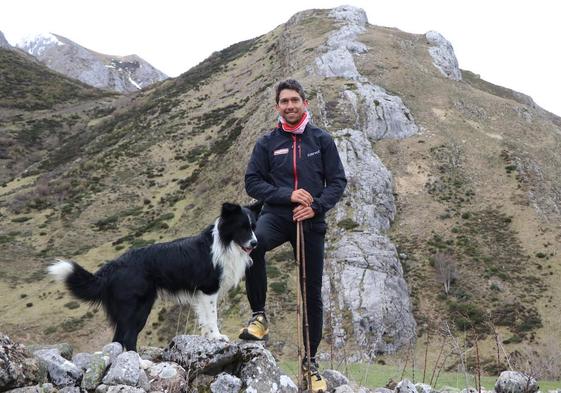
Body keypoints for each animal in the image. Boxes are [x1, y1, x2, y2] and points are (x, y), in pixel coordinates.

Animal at [48, 202, 260, 350]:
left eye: (253, 226)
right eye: (242, 227)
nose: (255, 243)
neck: (225, 242)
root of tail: (113, 266)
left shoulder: (201, 294)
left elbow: (204, 319)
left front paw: (208, 337)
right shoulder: (208, 289)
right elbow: (212, 317)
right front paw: (217, 337)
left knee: (118, 339)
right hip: (136, 308)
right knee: (128, 337)